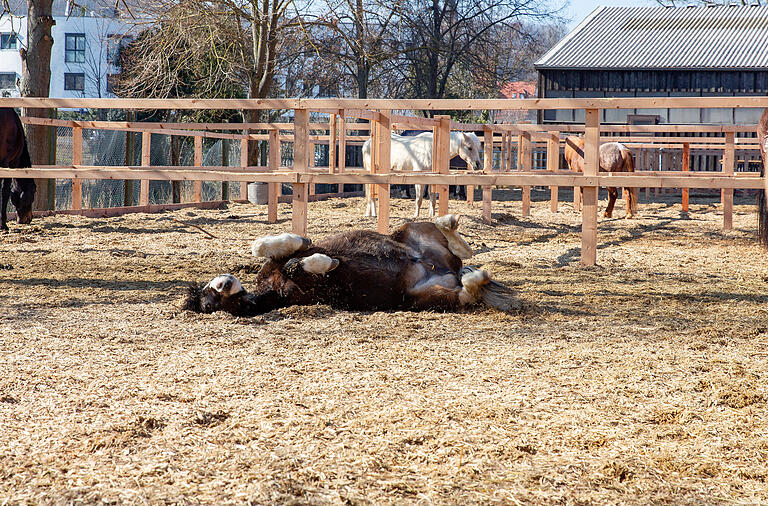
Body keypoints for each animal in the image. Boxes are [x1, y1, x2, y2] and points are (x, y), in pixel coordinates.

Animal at [184, 215, 516, 318]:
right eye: (209, 303)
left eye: (210, 288)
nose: (224, 283)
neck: (270, 288)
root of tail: (445, 269)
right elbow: (297, 267)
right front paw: (325, 262)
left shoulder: (273, 262)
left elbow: (269, 246)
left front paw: (307, 246)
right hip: (424, 297)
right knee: (466, 291)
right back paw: (475, 276)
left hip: (411, 230)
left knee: (457, 245)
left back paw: (450, 224)